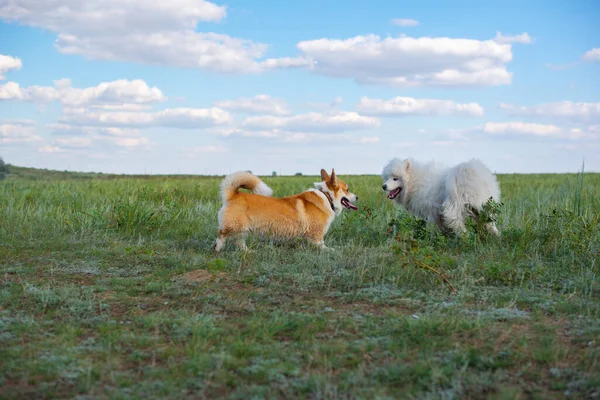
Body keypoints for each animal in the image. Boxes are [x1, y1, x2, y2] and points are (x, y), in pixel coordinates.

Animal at [214, 170, 356, 252]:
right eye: (347, 190)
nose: (357, 197)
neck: (327, 196)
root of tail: (233, 194)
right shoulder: (316, 234)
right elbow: (321, 244)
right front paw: (330, 250)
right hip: (235, 225)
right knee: (221, 235)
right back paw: (217, 249)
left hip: (243, 228)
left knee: (238, 241)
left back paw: (247, 251)